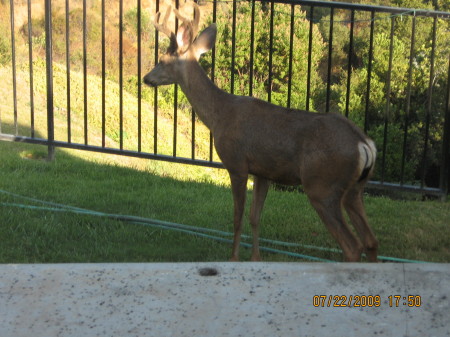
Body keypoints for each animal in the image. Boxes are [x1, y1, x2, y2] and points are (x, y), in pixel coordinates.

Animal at [142, 1, 378, 262]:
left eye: (162, 60)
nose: (146, 78)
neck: (219, 115)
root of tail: (363, 143)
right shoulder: (264, 171)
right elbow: (255, 217)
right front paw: (256, 258)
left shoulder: (236, 163)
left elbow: (237, 218)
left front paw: (233, 258)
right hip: (355, 189)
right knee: (371, 241)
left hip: (322, 186)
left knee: (353, 246)